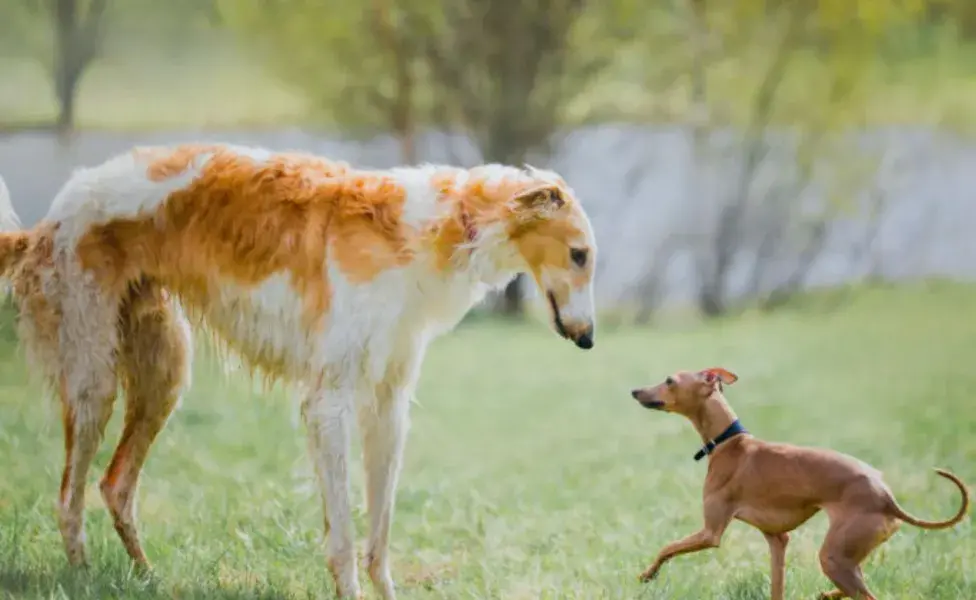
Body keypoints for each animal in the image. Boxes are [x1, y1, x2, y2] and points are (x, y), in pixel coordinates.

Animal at [0, 145, 600, 600]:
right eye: (579, 254)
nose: (589, 338)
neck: (440, 227)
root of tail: (49, 220)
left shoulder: (388, 403)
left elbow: (379, 534)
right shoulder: (328, 402)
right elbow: (344, 537)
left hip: (163, 374)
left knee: (115, 485)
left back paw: (148, 577)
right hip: (93, 381)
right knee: (69, 498)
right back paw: (84, 576)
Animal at [632, 366, 968, 600]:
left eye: (669, 380)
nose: (635, 391)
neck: (730, 443)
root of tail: (886, 496)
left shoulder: (710, 532)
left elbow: (666, 547)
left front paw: (646, 575)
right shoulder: (777, 539)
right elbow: (777, 587)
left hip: (833, 557)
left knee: (866, 595)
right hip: (847, 556)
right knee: (855, 585)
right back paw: (827, 594)